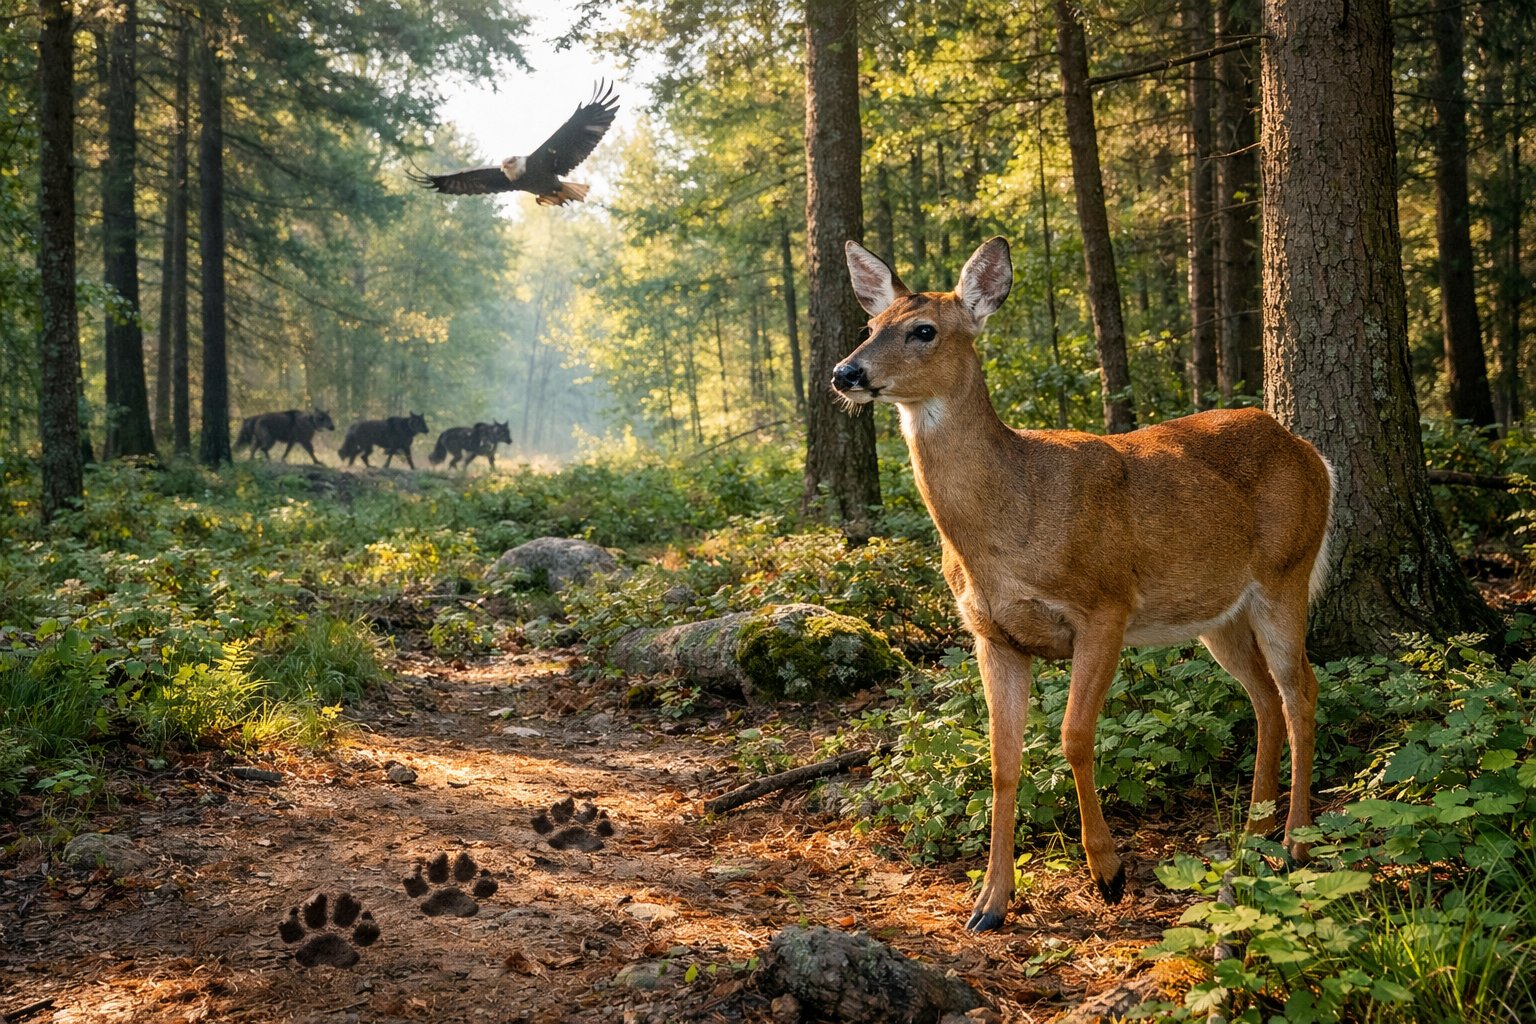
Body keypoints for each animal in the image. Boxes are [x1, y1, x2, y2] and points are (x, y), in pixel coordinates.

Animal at [833, 237, 1335, 932]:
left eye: (924, 330)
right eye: (870, 326)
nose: (845, 373)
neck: (1009, 521)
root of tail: (1314, 453)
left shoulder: (1105, 605)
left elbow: (1073, 736)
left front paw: (1109, 873)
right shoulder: (993, 634)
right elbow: (1002, 760)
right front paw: (989, 903)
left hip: (1286, 571)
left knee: (1300, 690)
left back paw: (1294, 842)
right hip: (1218, 613)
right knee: (1263, 698)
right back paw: (1253, 836)